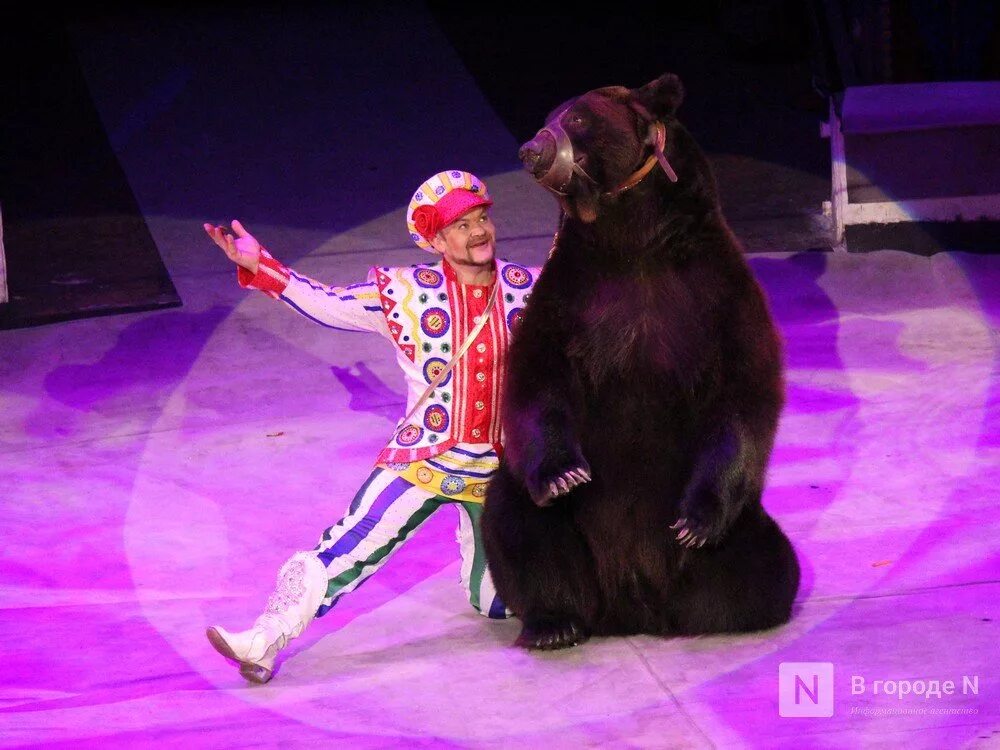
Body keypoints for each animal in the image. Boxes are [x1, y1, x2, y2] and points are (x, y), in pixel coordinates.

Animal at [480, 72, 800, 652]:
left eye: (577, 116)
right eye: (550, 114)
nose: (531, 148)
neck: (634, 242)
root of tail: (635, 606)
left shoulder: (718, 294)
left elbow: (743, 390)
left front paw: (695, 521)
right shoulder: (571, 295)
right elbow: (538, 377)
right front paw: (564, 475)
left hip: (743, 529)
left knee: (769, 567)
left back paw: (714, 615)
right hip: (561, 536)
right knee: (517, 523)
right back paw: (555, 623)